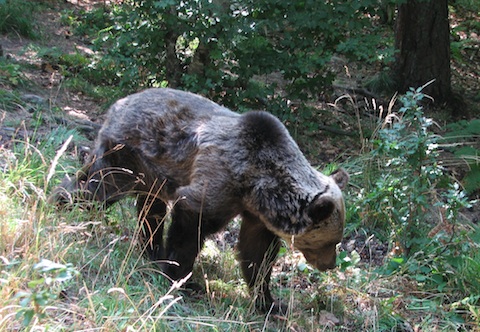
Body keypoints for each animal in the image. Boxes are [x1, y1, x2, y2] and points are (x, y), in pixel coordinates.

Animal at [54, 87, 348, 314]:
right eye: (330, 241)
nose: (329, 264)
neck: (257, 184)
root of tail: (119, 103)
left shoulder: (256, 214)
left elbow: (257, 254)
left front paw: (269, 302)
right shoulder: (218, 179)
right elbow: (189, 228)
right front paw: (181, 279)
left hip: (152, 174)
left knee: (150, 210)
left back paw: (149, 250)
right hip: (128, 153)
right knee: (100, 188)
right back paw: (60, 202)